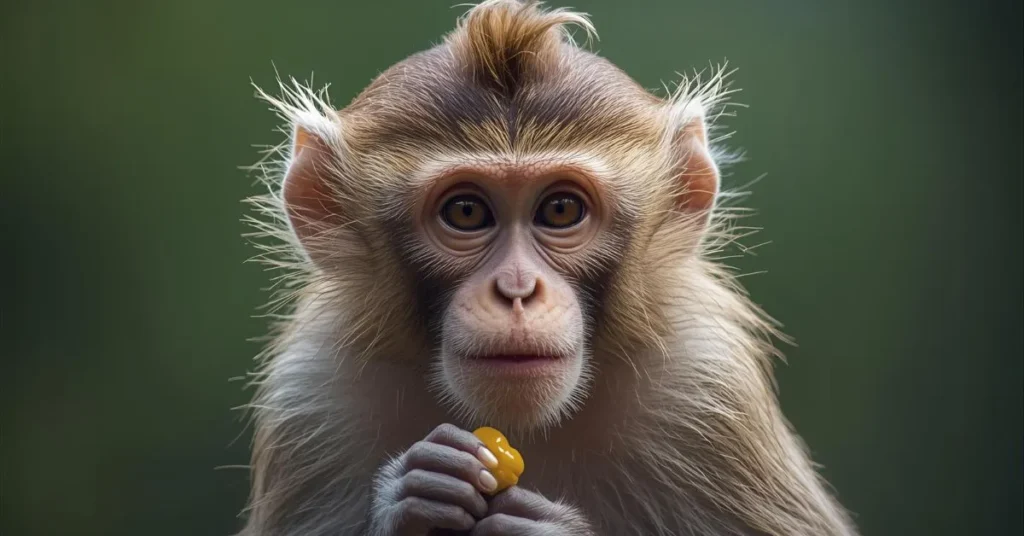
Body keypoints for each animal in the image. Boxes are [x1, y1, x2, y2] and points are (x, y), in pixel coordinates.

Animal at [238, 1, 858, 535]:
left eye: (560, 209)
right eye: (466, 212)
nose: (517, 289)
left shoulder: (709, 385)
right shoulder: (310, 396)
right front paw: (408, 496)